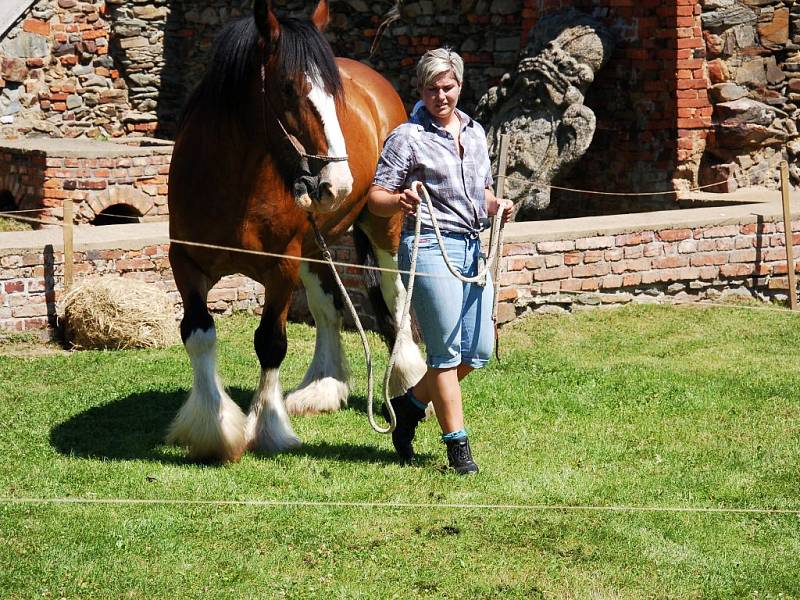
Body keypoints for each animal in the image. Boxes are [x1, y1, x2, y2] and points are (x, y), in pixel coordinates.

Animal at [168, 0, 428, 464]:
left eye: (334, 95)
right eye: (288, 89)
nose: (337, 183)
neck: (231, 183)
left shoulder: (281, 268)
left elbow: (271, 342)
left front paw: (268, 428)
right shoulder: (185, 261)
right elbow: (198, 334)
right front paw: (212, 429)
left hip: (384, 224)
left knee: (396, 296)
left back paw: (404, 379)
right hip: (313, 244)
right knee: (329, 309)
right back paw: (322, 387)